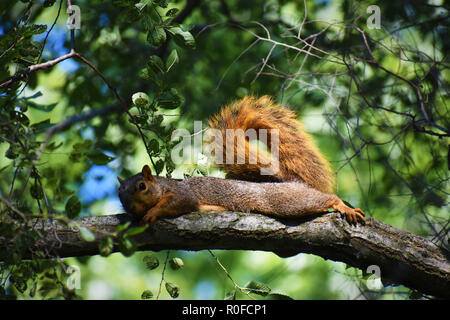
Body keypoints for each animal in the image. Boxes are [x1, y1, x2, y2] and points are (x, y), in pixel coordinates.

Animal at [118, 95, 366, 225]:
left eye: (142, 186)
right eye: (119, 194)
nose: (131, 208)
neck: (161, 186)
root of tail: (294, 183)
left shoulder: (182, 194)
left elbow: (178, 203)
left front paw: (153, 212)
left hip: (289, 202)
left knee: (326, 199)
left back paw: (344, 207)